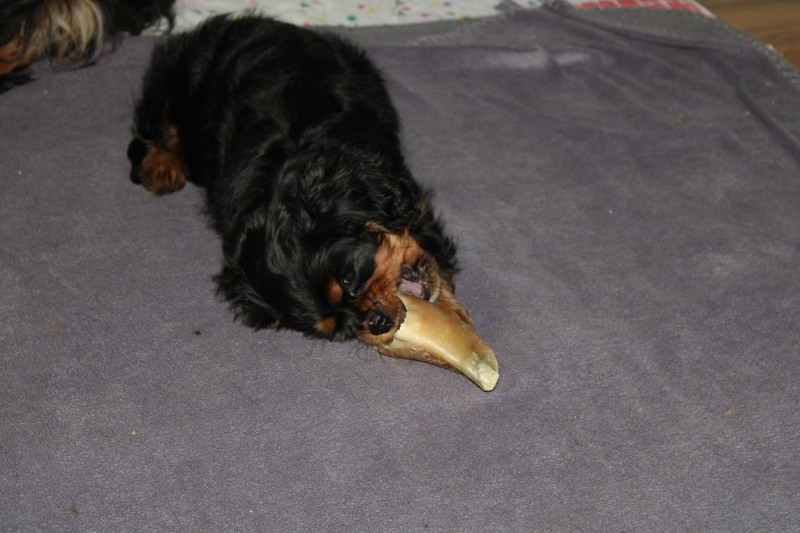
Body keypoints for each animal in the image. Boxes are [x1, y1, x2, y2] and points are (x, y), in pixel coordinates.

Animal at [128, 15, 473, 348]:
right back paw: (161, 167)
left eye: (349, 275)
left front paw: (451, 314)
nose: (375, 323)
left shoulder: (405, 190)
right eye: (341, 331)